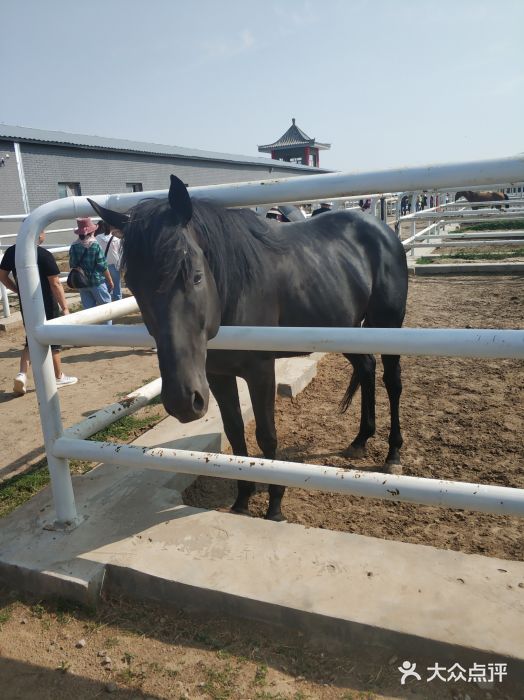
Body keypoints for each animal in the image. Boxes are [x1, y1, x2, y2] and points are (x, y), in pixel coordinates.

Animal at [89, 178, 410, 524]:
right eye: (134, 285)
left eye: (196, 276)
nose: (181, 402)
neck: (232, 294)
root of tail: (383, 230)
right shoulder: (217, 377)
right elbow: (235, 434)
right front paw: (242, 500)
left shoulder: (260, 372)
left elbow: (267, 436)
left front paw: (275, 507)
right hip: (346, 330)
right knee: (366, 368)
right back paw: (360, 440)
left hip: (388, 325)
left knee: (392, 381)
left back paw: (393, 454)